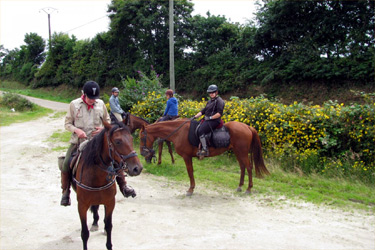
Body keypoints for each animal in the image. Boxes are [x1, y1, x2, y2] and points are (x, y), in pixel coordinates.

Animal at [71, 120, 143, 249]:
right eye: (118, 141)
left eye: (131, 138)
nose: (137, 168)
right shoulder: (82, 206)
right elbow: (84, 233)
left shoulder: (110, 202)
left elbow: (109, 226)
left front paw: (109, 244)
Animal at [140, 118, 268, 196]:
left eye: (142, 137)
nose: (142, 153)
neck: (179, 132)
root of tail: (247, 127)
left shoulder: (187, 157)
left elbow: (190, 172)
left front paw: (191, 189)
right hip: (238, 152)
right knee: (242, 167)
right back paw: (240, 186)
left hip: (242, 152)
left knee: (249, 168)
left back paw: (249, 188)